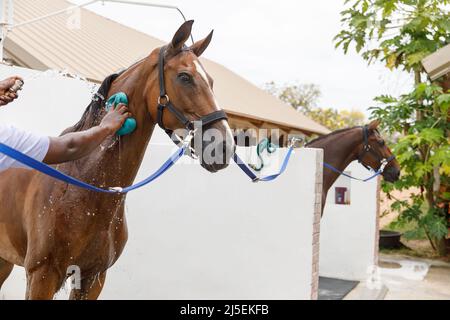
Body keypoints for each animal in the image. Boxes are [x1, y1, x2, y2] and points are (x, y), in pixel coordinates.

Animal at [0, 20, 236, 300]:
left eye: (210, 81)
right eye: (184, 77)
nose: (224, 146)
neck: (82, 186)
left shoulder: (93, 278)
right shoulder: (41, 276)